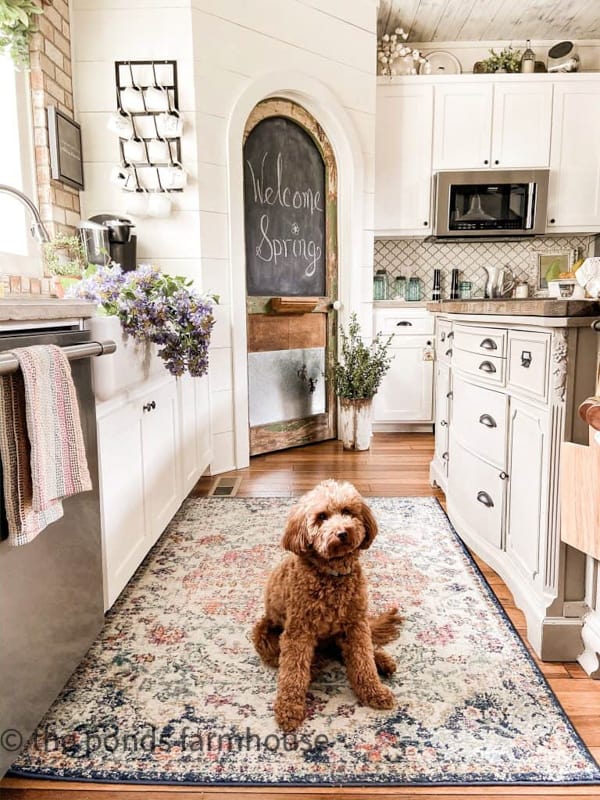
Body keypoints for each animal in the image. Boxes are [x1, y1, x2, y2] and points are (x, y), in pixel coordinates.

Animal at [251, 478, 400, 736]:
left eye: (347, 512)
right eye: (321, 517)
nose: (343, 532)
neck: (333, 575)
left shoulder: (355, 626)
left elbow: (363, 661)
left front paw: (375, 692)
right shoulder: (298, 632)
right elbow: (292, 673)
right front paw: (288, 710)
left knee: (358, 651)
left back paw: (381, 661)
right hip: (264, 635)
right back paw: (315, 664)